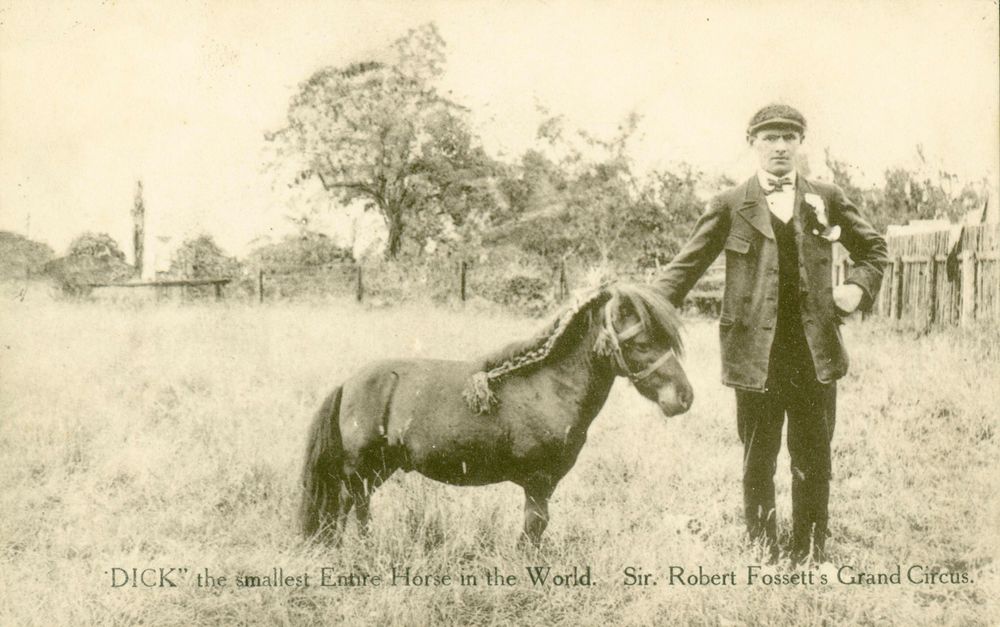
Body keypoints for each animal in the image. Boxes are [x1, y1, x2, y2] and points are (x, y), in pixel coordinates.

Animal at [299, 282, 693, 546]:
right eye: (641, 343)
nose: (684, 397)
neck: (550, 387)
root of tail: (348, 383)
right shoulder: (538, 482)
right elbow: (534, 528)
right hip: (362, 471)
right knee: (357, 508)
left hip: (380, 468)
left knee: (346, 506)